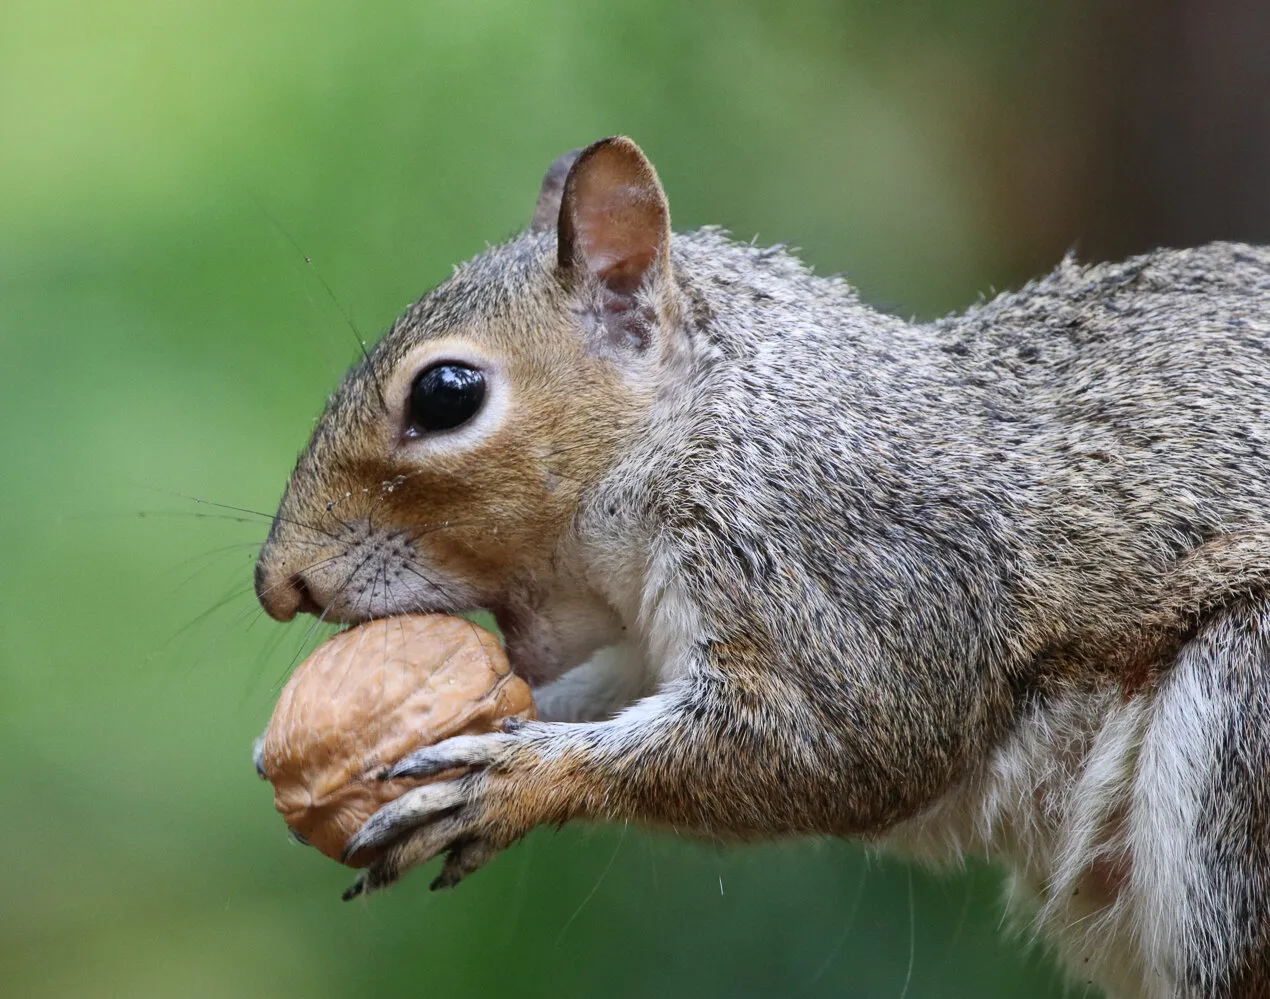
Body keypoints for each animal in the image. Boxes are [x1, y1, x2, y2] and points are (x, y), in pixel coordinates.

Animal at [253, 136, 1270, 999]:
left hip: (1241, 724)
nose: (278, 585)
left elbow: (831, 742)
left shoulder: (839, 563)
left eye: (446, 393)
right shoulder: (647, 639)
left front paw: (513, 781)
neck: (709, 420)